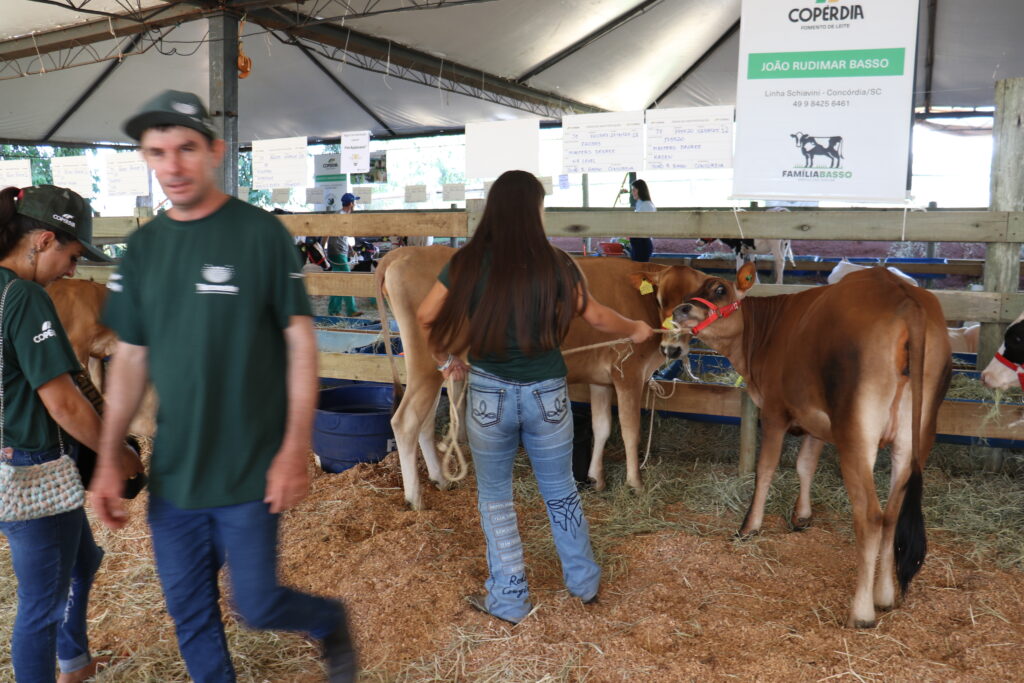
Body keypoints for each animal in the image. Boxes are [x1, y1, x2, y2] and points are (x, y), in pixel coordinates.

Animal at [375, 245, 708, 510]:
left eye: (691, 303)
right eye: (662, 298)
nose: (673, 347)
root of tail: (404, 252)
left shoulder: (600, 377)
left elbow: (601, 427)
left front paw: (596, 478)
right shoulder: (628, 373)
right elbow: (630, 431)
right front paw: (635, 484)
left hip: (438, 367)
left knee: (425, 421)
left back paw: (440, 479)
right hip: (425, 365)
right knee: (404, 421)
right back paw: (414, 498)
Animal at [671, 263, 952, 628]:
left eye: (719, 289)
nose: (680, 310)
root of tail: (905, 299)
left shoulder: (774, 412)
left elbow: (766, 469)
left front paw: (749, 527)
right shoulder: (816, 421)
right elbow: (806, 465)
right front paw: (801, 516)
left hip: (857, 434)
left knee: (870, 516)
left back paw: (861, 611)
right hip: (915, 437)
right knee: (892, 513)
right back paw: (885, 596)